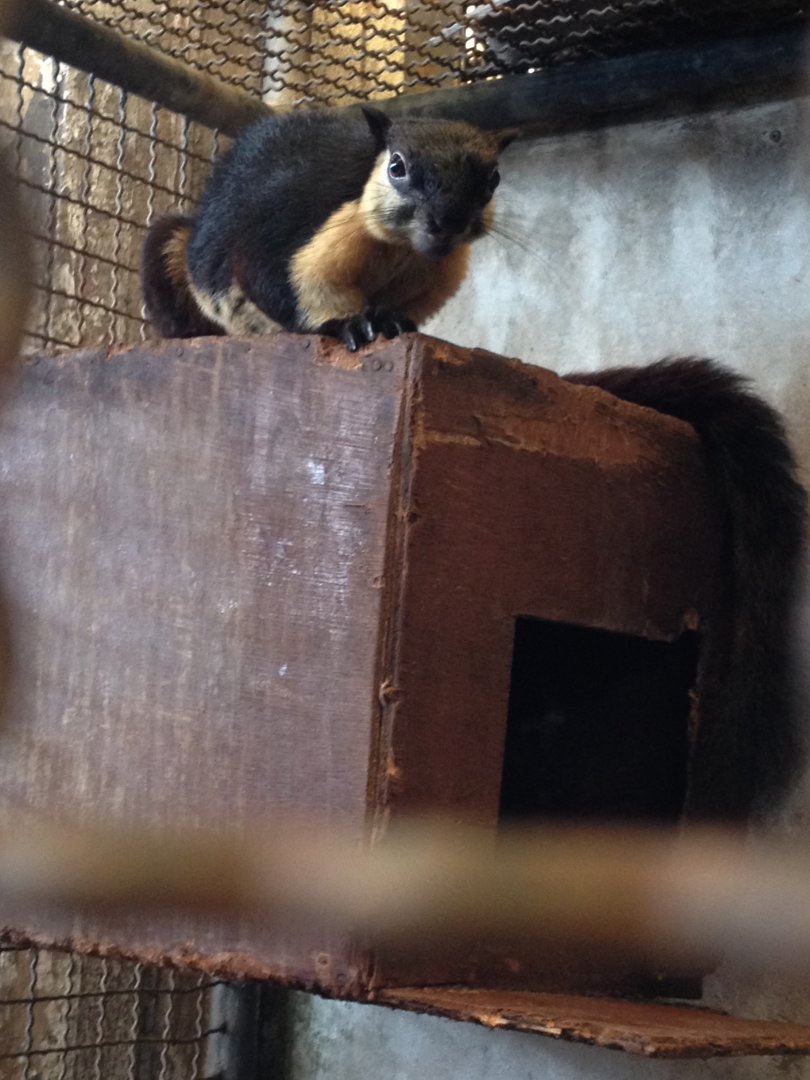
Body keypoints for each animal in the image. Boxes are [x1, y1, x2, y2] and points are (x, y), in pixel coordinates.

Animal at [141, 107, 515, 350]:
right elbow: (271, 282)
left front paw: (389, 322)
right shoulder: (285, 228)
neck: (399, 250)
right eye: (397, 166)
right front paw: (349, 325)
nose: (450, 220)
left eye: (494, 178)